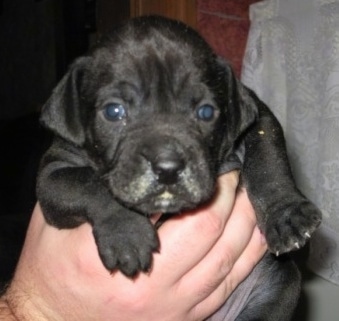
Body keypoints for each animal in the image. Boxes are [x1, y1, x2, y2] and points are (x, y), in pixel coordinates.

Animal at [37, 15, 322, 320]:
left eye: (206, 112)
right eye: (114, 111)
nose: (168, 167)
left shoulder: (258, 118)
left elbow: (268, 161)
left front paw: (287, 214)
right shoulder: (52, 175)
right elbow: (89, 183)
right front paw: (127, 232)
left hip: (281, 286)